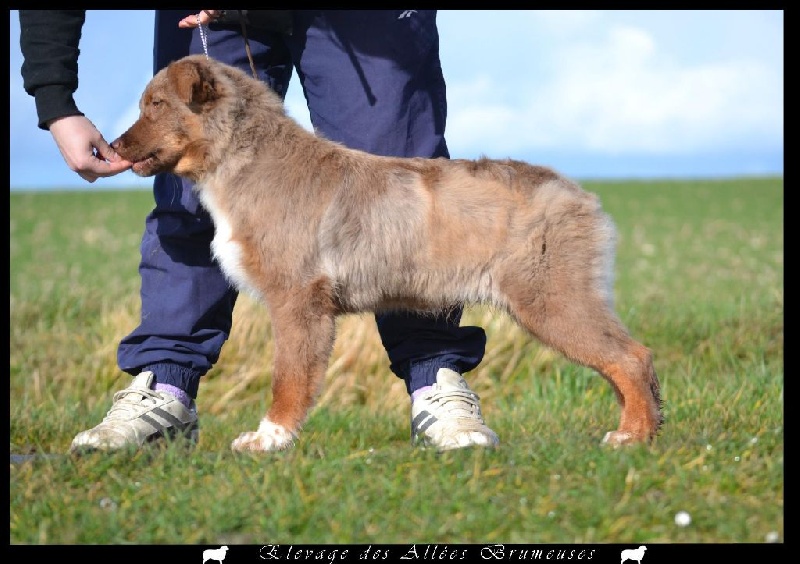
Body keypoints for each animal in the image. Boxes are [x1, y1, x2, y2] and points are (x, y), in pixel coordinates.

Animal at [111, 55, 664, 452]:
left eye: (155, 104)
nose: (112, 146)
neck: (243, 160)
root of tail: (578, 194)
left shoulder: (297, 301)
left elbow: (288, 378)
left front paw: (269, 439)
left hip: (552, 299)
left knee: (631, 358)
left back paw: (632, 436)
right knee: (625, 362)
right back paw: (648, 427)